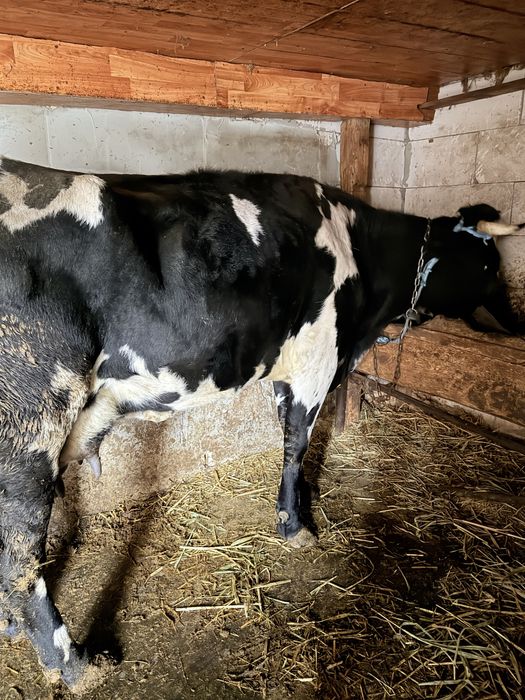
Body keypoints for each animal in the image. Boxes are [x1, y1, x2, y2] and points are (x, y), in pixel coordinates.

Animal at [0, 156, 523, 691]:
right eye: (489, 262)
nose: (512, 322)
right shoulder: (317, 362)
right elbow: (296, 445)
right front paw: (295, 525)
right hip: (32, 423)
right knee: (20, 560)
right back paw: (76, 665)